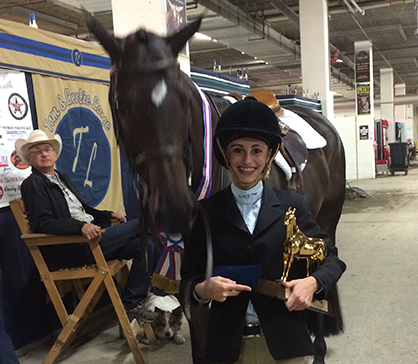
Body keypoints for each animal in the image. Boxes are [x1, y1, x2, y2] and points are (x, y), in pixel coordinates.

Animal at [87, 15, 342, 362]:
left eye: (181, 99)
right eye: (120, 103)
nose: (175, 209)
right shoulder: (197, 290)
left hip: (326, 224)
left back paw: (317, 347)